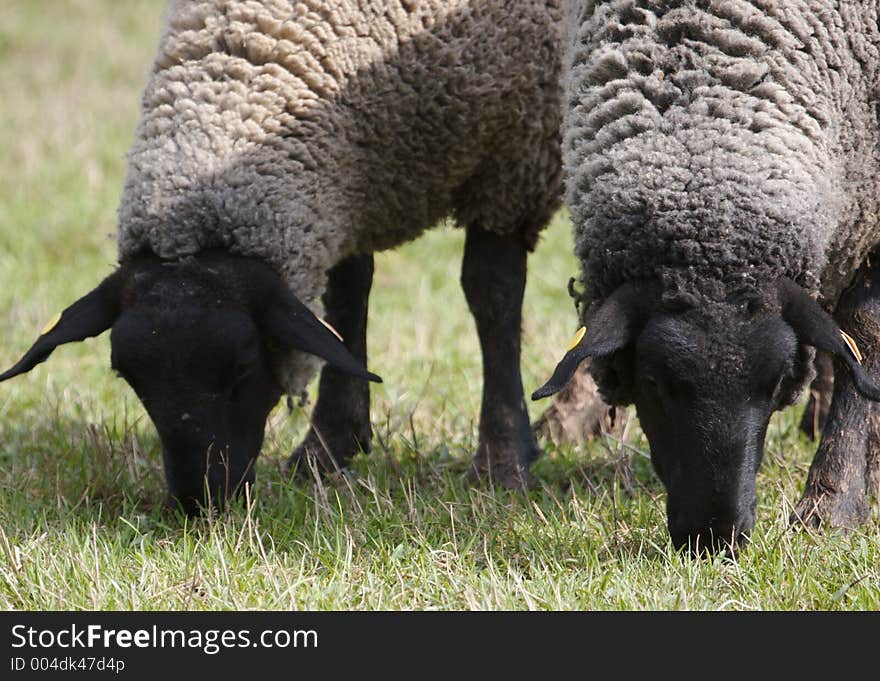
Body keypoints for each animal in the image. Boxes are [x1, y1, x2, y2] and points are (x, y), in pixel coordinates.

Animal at [0, 0, 564, 510]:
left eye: (243, 365)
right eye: (127, 375)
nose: (200, 501)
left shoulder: (514, 158)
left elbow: (492, 294)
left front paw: (502, 461)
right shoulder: (352, 183)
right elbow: (346, 300)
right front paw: (327, 448)